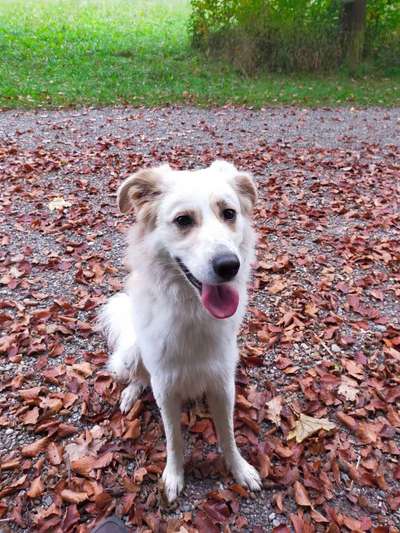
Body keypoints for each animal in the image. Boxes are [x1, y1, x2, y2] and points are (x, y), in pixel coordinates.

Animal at [100, 160, 260, 500]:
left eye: (229, 213)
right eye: (183, 220)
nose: (229, 265)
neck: (193, 311)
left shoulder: (222, 383)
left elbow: (227, 434)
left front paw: (239, 468)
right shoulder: (165, 387)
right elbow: (174, 440)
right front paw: (174, 476)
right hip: (131, 355)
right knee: (138, 376)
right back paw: (130, 394)